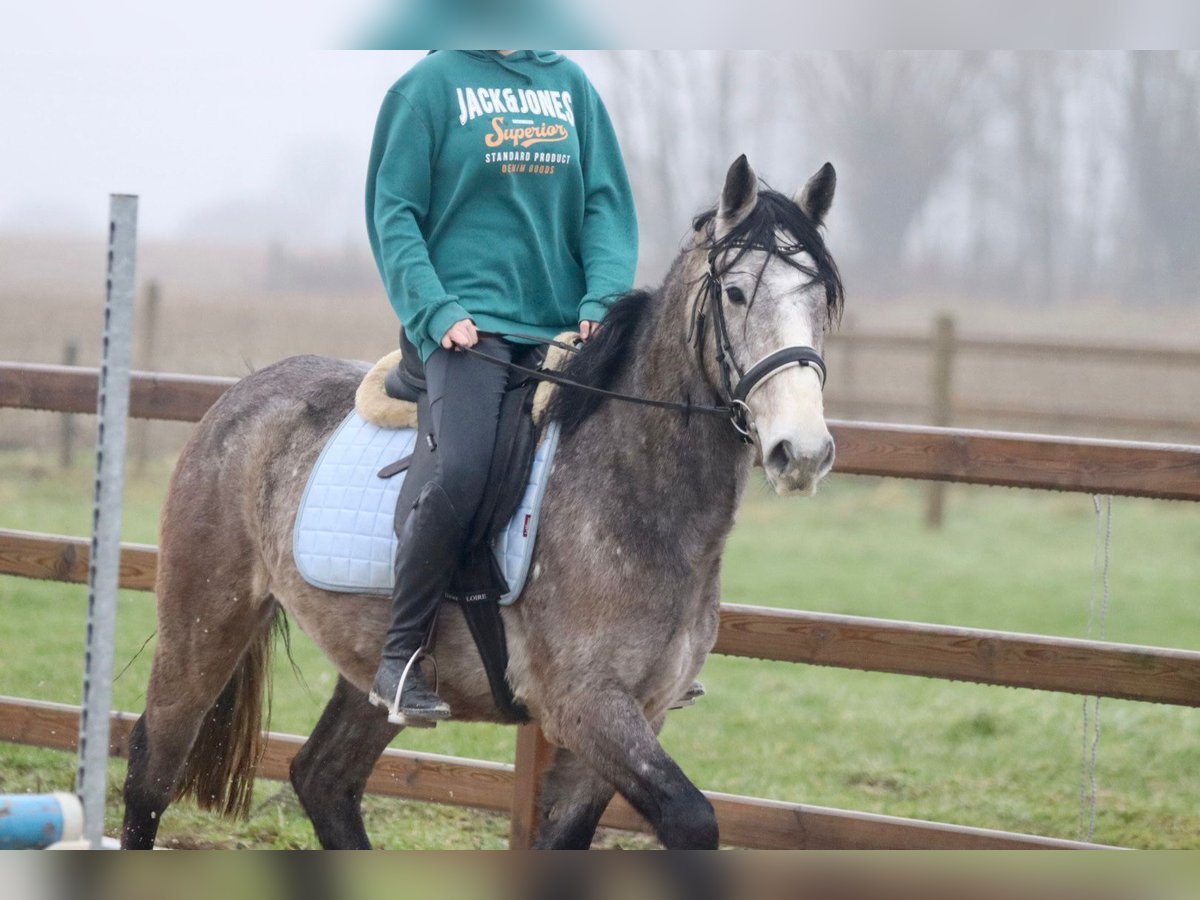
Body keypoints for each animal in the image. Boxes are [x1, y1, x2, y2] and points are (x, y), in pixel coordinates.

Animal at [119, 157, 844, 854]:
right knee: (152, 770)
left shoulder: (639, 714)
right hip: (203, 623)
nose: (802, 451)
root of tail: (241, 394)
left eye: (821, 303)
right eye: (736, 291)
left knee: (322, 777)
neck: (635, 491)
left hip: (376, 665)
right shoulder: (587, 707)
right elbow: (692, 820)